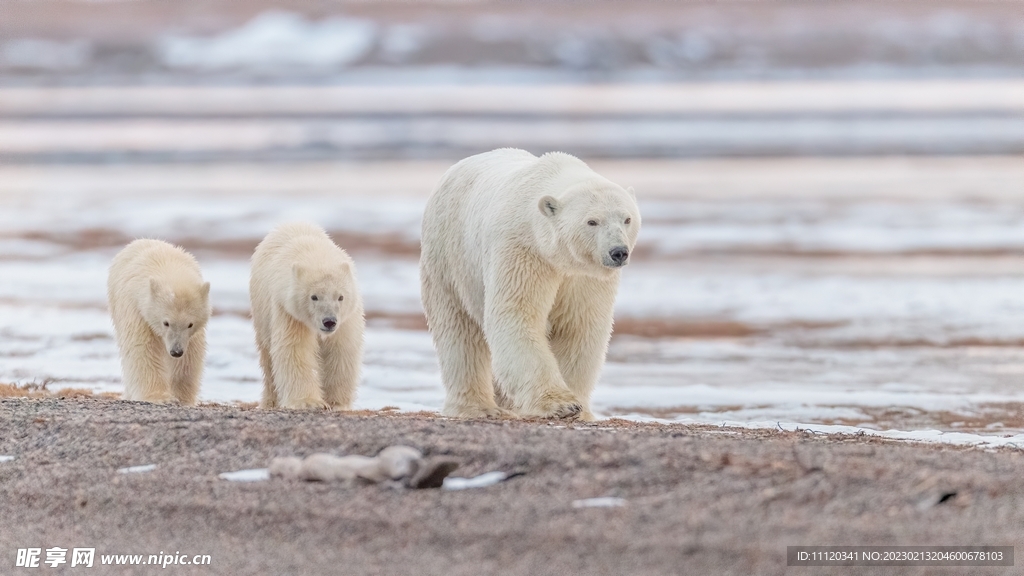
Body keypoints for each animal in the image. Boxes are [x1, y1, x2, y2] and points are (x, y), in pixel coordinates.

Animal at [419, 147, 634, 416]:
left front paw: (580, 408)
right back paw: (477, 407)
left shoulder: (584, 277)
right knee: (459, 332)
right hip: (448, 257)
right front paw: (561, 404)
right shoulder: (523, 251)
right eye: (592, 221)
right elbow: (517, 314)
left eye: (627, 219)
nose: (618, 252)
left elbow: (579, 328)